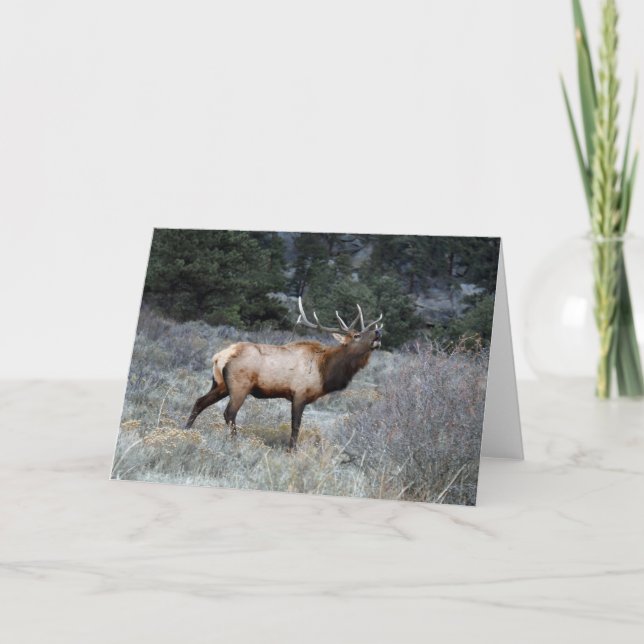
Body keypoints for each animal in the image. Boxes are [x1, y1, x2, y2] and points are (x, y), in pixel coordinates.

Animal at [185, 297, 383, 450]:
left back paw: (185, 430)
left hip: (220, 384)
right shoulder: (299, 394)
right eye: (356, 336)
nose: (378, 332)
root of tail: (220, 356)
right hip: (239, 385)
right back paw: (234, 442)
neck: (325, 372)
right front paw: (291, 451)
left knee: (200, 402)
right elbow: (295, 426)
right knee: (229, 413)